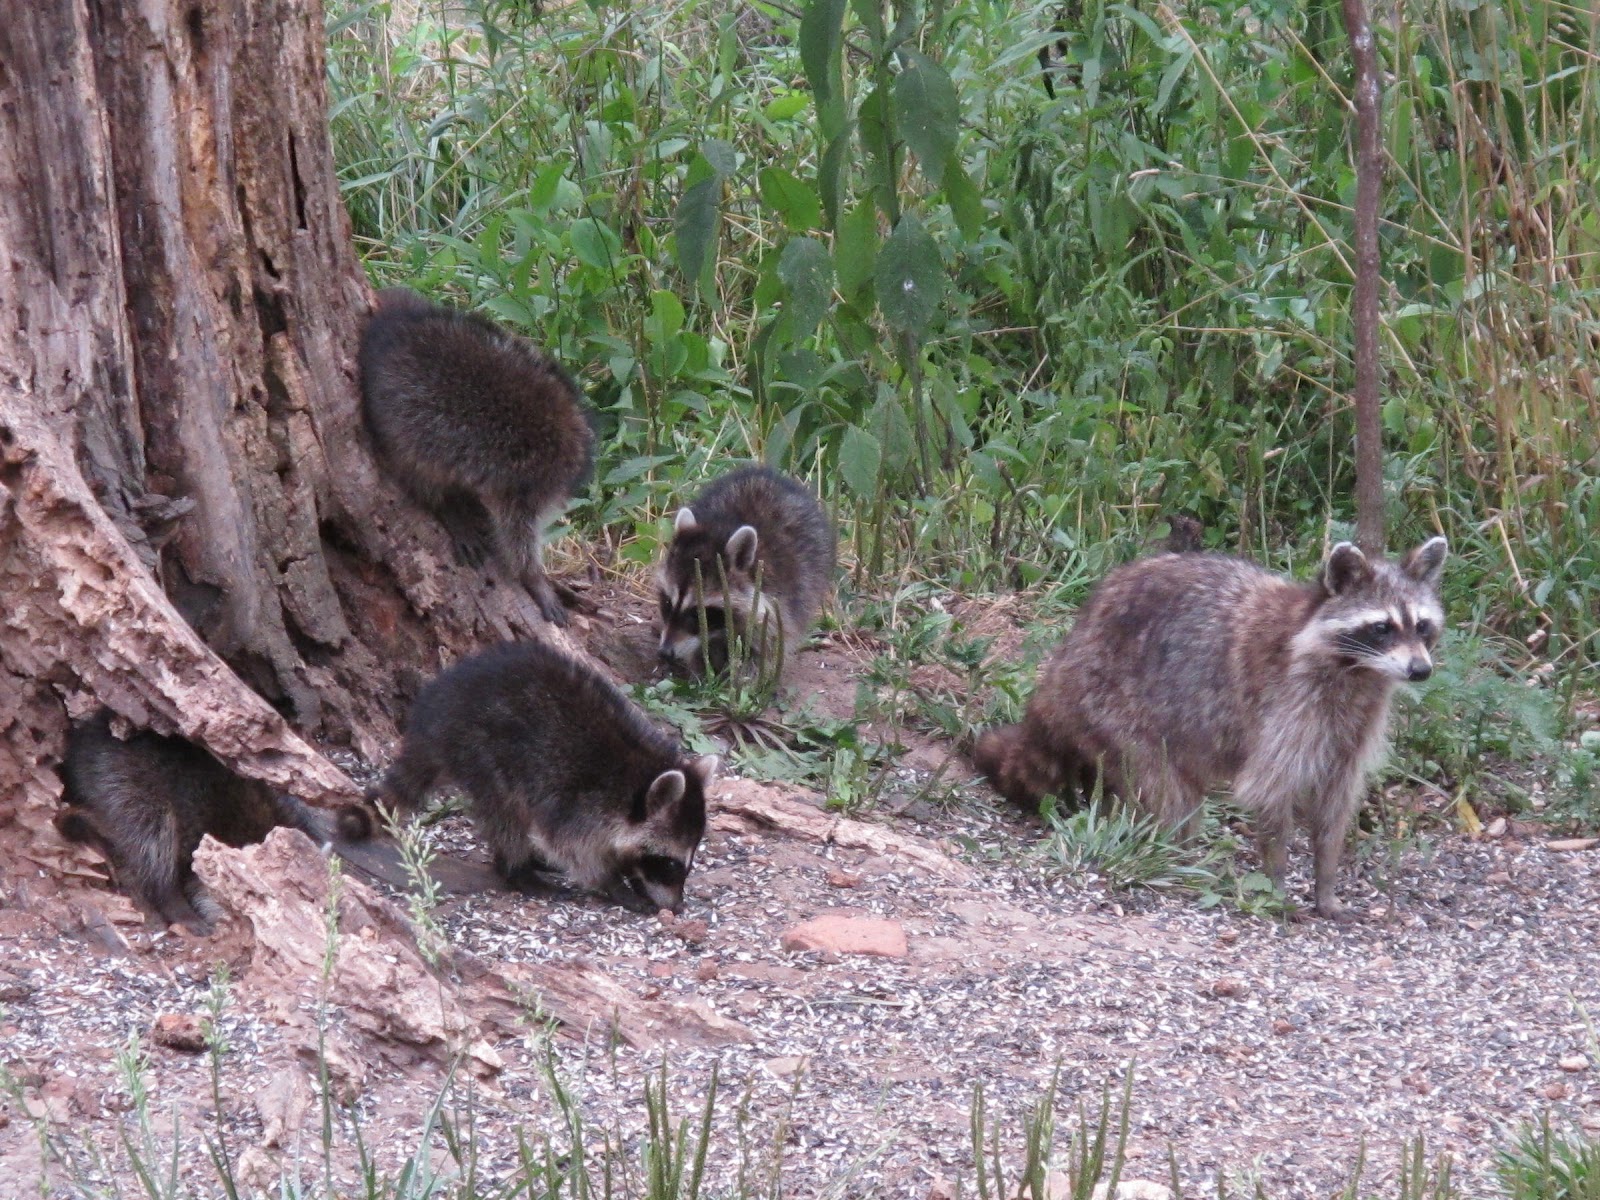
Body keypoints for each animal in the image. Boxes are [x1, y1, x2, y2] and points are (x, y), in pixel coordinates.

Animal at [359, 288, 595, 626]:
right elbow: (517, 535)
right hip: (404, 424)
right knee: (419, 468)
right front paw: (533, 577)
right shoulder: (522, 485)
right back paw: (446, 506)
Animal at [370, 641, 718, 914]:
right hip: (483, 750)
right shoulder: (578, 803)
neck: (635, 780)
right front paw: (612, 882)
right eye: (670, 863)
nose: (677, 907)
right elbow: (573, 848)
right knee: (506, 813)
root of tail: (433, 723)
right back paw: (516, 868)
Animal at [975, 537, 1448, 918]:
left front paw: (1325, 882)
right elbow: (1270, 792)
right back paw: (1172, 857)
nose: (1421, 671)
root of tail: (1066, 656)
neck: (1357, 671)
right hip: (1115, 704)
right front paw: (1277, 883)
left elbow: (1335, 804)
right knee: (1169, 794)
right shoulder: (1287, 708)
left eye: (1422, 625)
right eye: (1382, 627)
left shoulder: (1354, 725)